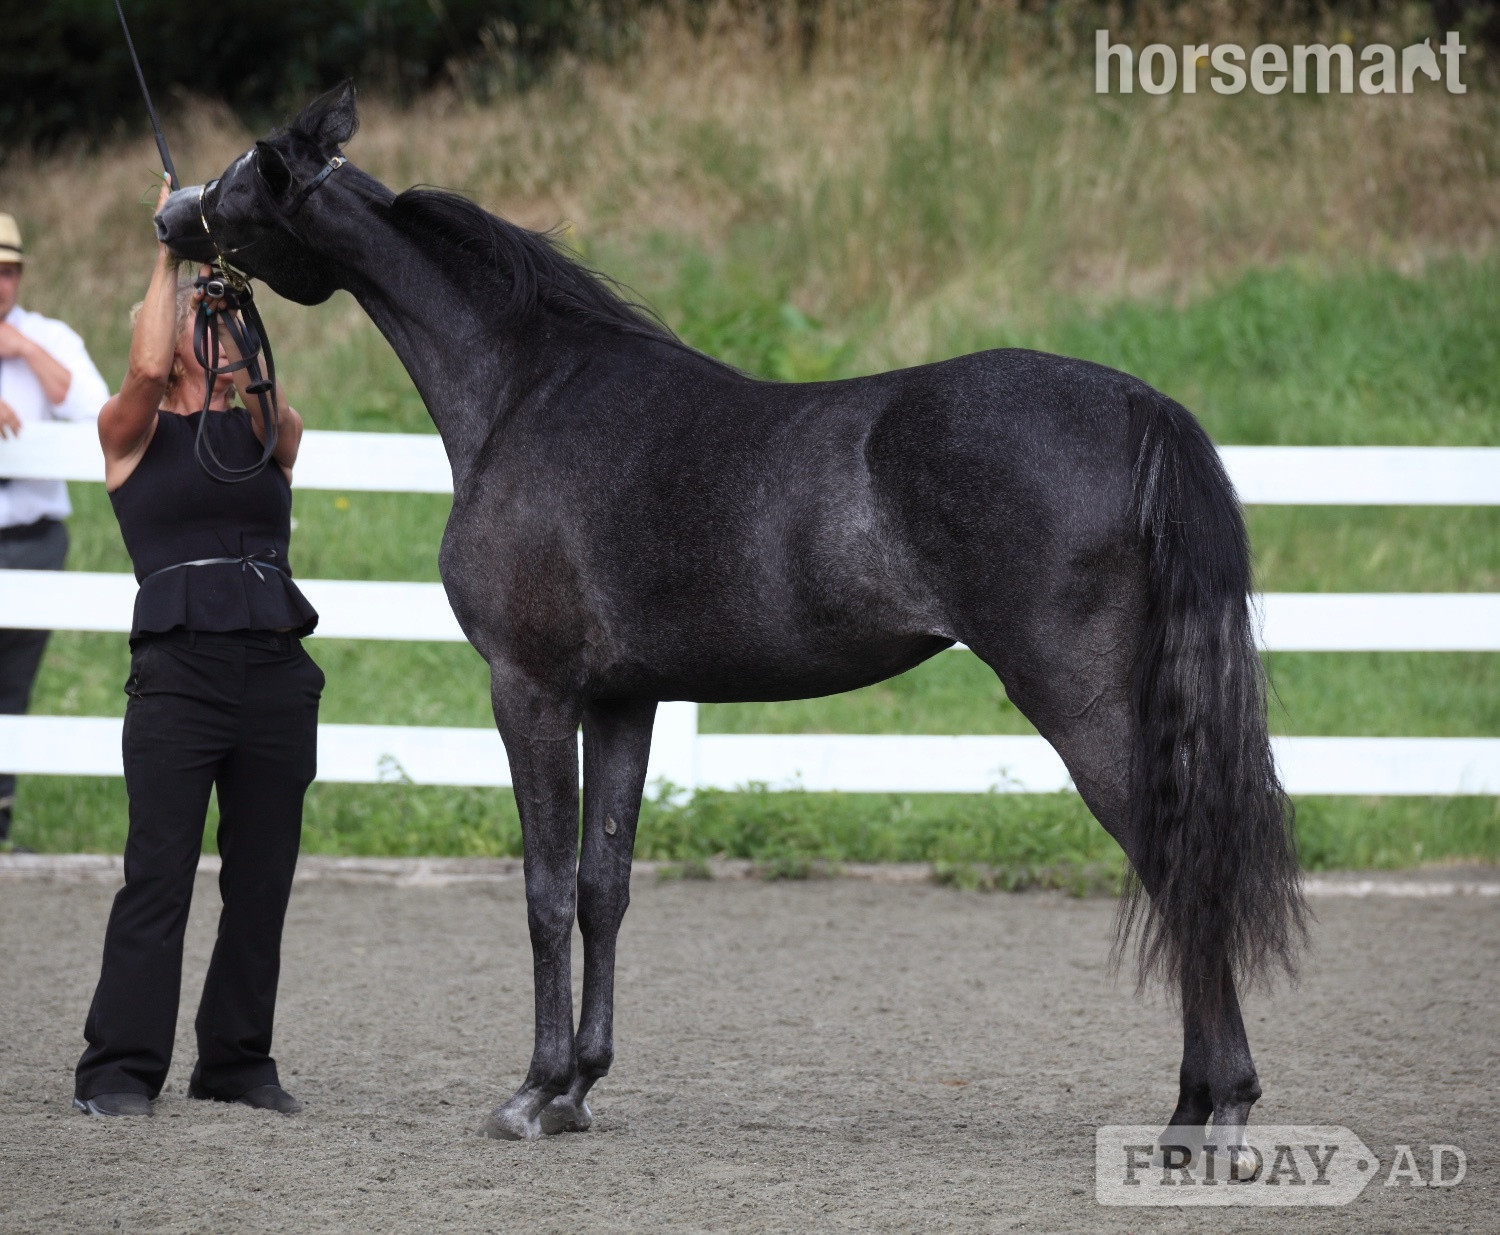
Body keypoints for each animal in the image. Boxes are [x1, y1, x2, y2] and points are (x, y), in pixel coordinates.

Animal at [155, 82, 1306, 1141]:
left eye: (242, 174)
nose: (170, 218)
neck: (525, 391)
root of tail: (1140, 407)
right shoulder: (625, 700)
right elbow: (605, 884)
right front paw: (578, 1086)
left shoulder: (530, 688)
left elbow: (544, 888)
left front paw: (530, 1092)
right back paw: (1196, 1103)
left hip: (1078, 700)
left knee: (1178, 864)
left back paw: (1216, 1108)